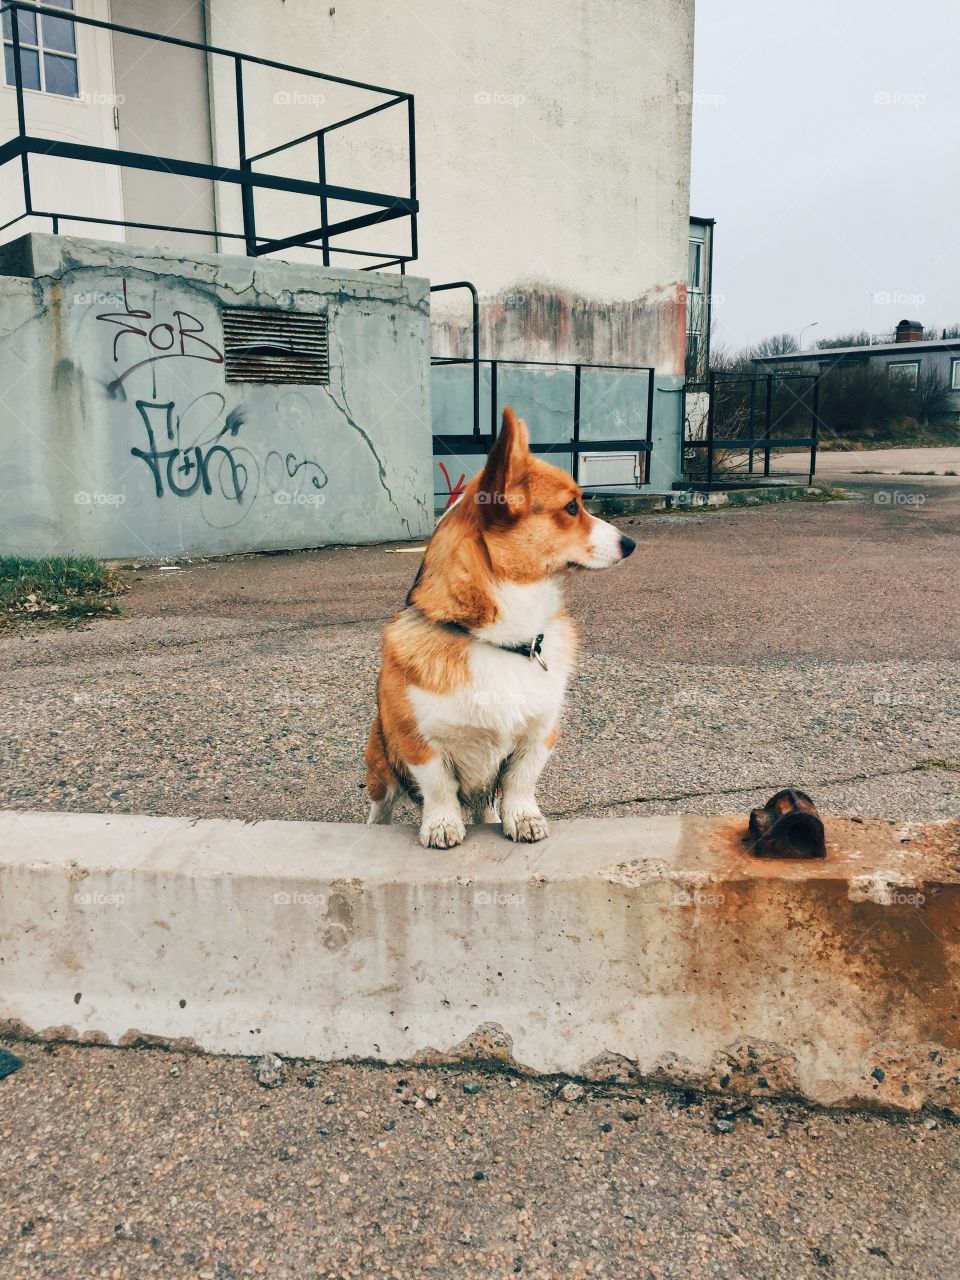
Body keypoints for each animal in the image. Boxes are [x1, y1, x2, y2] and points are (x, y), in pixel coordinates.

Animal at [363, 409, 634, 849]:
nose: (631, 543)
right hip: (380, 766)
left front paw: (523, 819)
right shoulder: (420, 744)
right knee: (381, 806)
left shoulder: (538, 736)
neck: (502, 641)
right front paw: (441, 825)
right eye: (571, 508)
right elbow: (438, 788)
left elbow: (521, 785)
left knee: (485, 804)